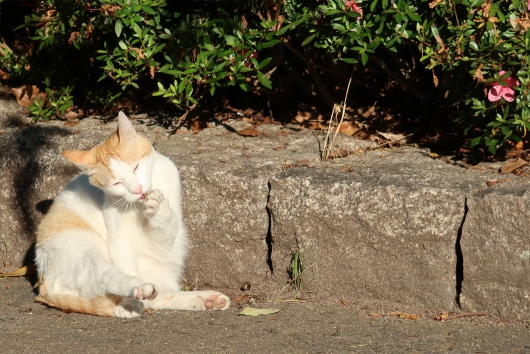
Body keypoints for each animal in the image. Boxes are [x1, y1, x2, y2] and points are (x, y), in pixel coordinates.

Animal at [34, 111, 229, 318]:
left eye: (135, 167)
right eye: (117, 183)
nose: (137, 190)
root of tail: (43, 285)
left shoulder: (164, 241)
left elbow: (165, 223)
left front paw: (158, 206)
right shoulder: (120, 240)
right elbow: (125, 263)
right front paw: (129, 303)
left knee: (157, 298)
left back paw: (207, 300)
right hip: (84, 253)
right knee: (111, 277)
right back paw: (137, 292)